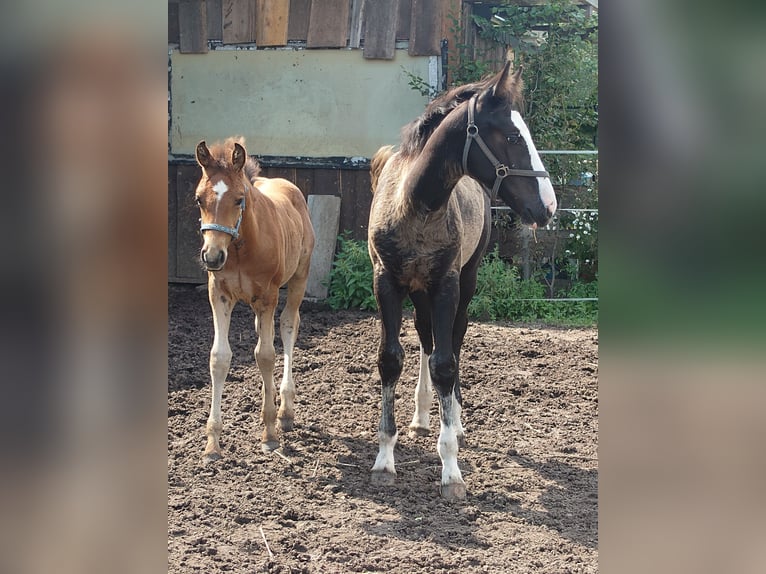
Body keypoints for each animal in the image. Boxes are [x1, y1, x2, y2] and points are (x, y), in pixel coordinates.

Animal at [193, 137, 315, 460]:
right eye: (199, 200)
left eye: (238, 199)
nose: (212, 256)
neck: (238, 249)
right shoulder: (219, 295)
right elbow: (220, 358)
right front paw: (212, 444)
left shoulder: (267, 296)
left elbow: (267, 355)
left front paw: (270, 433)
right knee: (264, 334)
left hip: (298, 278)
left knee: (288, 325)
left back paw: (284, 411)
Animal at [367, 62, 557, 500]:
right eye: (511, 136)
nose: (549, 205)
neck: (415, 205)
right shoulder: (387, 283)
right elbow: (392, 359)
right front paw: (384, 460)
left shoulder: (447, 286)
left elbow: (446, 363)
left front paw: (451, 469)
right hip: (419, 292)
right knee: (426, 339)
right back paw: (423, 415)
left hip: (464, 284)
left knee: (452, 340)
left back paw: (454, 418)